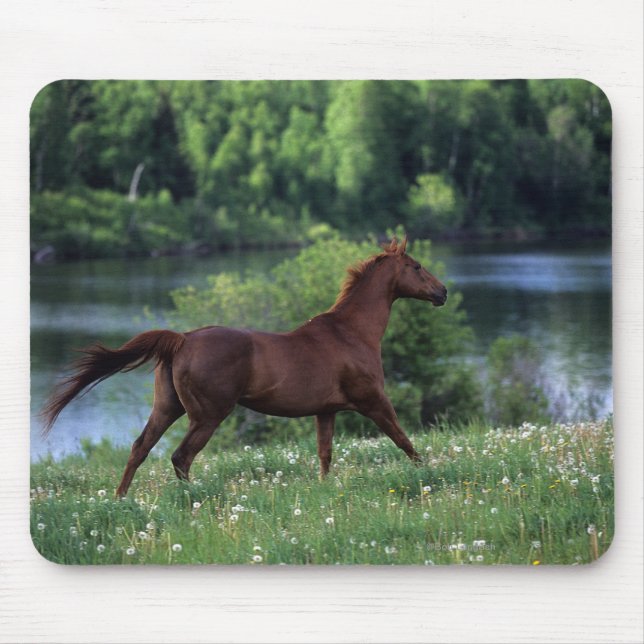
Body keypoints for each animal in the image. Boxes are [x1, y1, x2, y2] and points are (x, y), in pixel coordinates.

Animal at [42, 237, 447, 496]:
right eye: (416, 266)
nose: (442, 292)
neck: (351, 333)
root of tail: (182, 339)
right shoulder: (373, 401)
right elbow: (404, 440)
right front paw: (429, 475)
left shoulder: (326, 411)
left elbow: (325, 455)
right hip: (208, 415)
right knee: (181, 456)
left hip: (167, 407)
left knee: (140, 447)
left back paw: (121, 498)